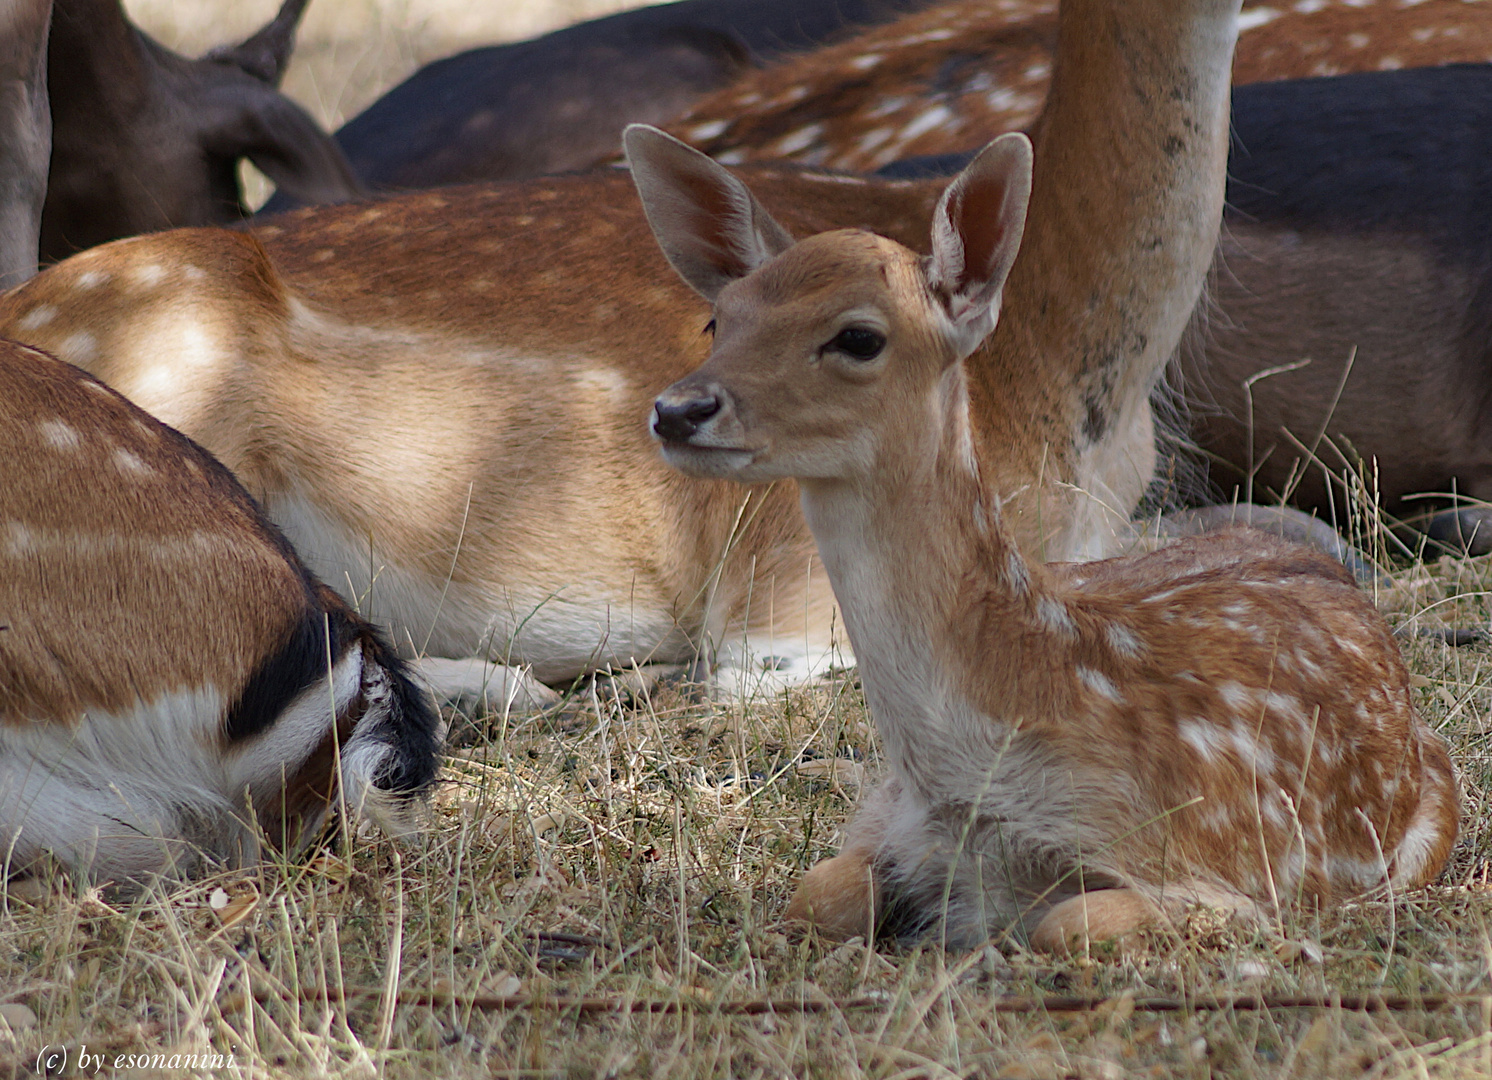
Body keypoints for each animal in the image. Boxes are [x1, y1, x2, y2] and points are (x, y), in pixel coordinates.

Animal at [635, 126, 1462, 948]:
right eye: (719, 319)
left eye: (859, 336)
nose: (678, 409)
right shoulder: (888, 815)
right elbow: (818, 894)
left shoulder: (1234, 879)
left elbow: (1067, 923)